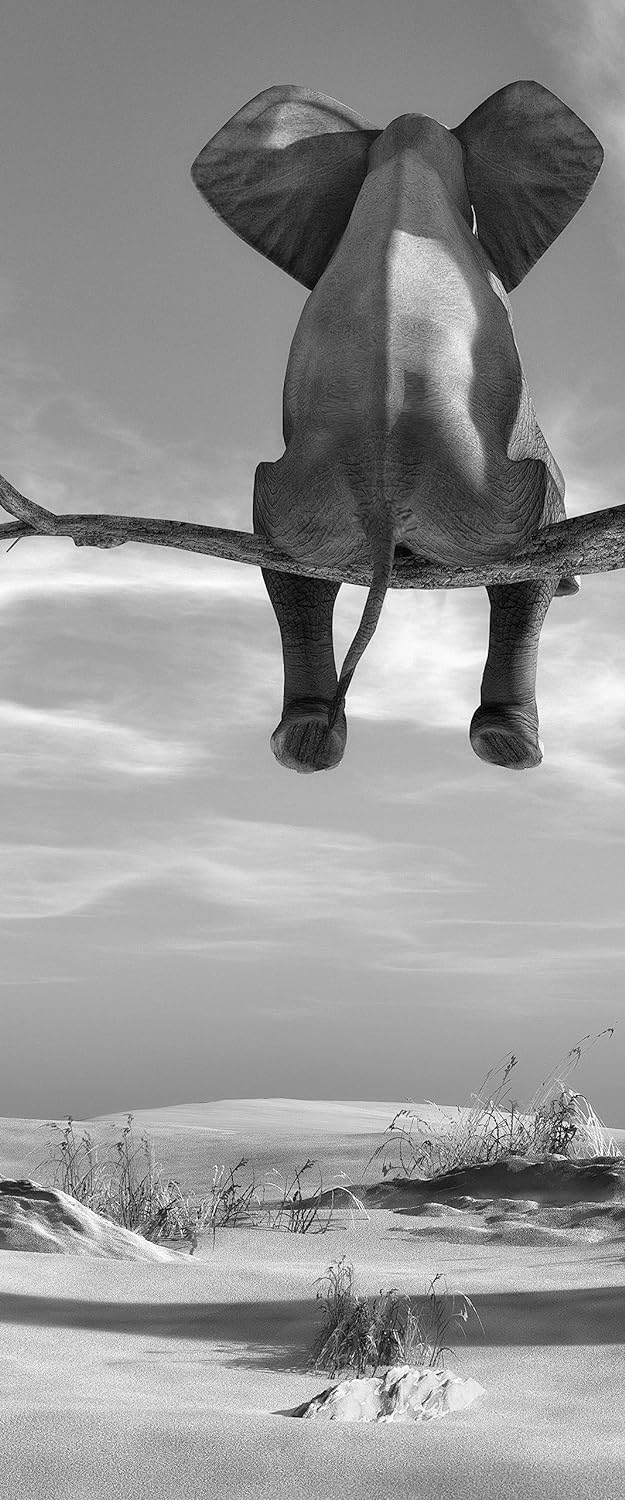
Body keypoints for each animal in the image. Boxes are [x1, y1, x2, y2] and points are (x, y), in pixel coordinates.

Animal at [191, 81, 603, 774]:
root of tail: (382, 496)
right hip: (487, 498)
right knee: (528, 550)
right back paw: (510, 746)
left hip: (302, 497)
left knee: (289, 565)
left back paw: (305, 743)